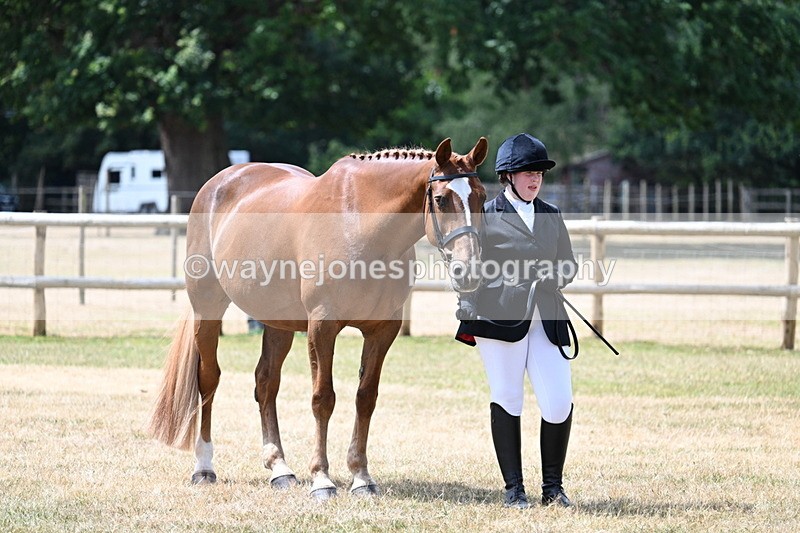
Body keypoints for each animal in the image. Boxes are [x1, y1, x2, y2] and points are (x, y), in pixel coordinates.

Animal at [148, 137, 488, 499]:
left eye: (482, 196)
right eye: (440, 199)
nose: (468, 271)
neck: (360, 223)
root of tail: (217, 184)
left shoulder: (382, 330)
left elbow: (365, 398)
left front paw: (361, 477)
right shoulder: (322, 327)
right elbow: (323, 398)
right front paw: (322, 479)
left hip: (277, 323)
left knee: (266, 383)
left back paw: (280, 468)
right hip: (208, 308)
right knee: (209, 380)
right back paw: (204, 467)